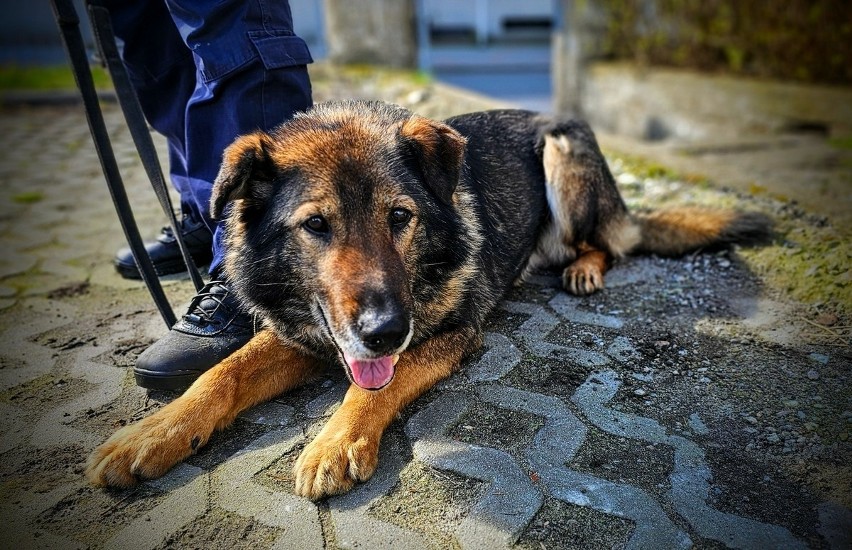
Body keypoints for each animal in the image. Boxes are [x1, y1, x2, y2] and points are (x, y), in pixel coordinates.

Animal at [86, 99, 772, 500]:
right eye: (316, 225)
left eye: (399, 217)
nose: (386, 332)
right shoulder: (301, 335)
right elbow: (222, 374)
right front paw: (154, 433)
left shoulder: (448, 336)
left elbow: (373, 387)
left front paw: (334, 443)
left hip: (564, 156)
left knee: (607, 243)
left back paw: (584, 269)